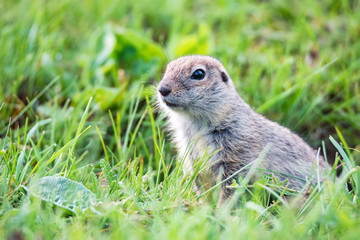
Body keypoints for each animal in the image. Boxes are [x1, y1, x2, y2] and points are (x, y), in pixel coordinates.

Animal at [157, 55, 326, 202]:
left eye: (198, 74)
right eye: (168, 69)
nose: (162, 89)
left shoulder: (237, 158)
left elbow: (231, 187)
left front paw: (220, 211)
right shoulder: (193, 159)